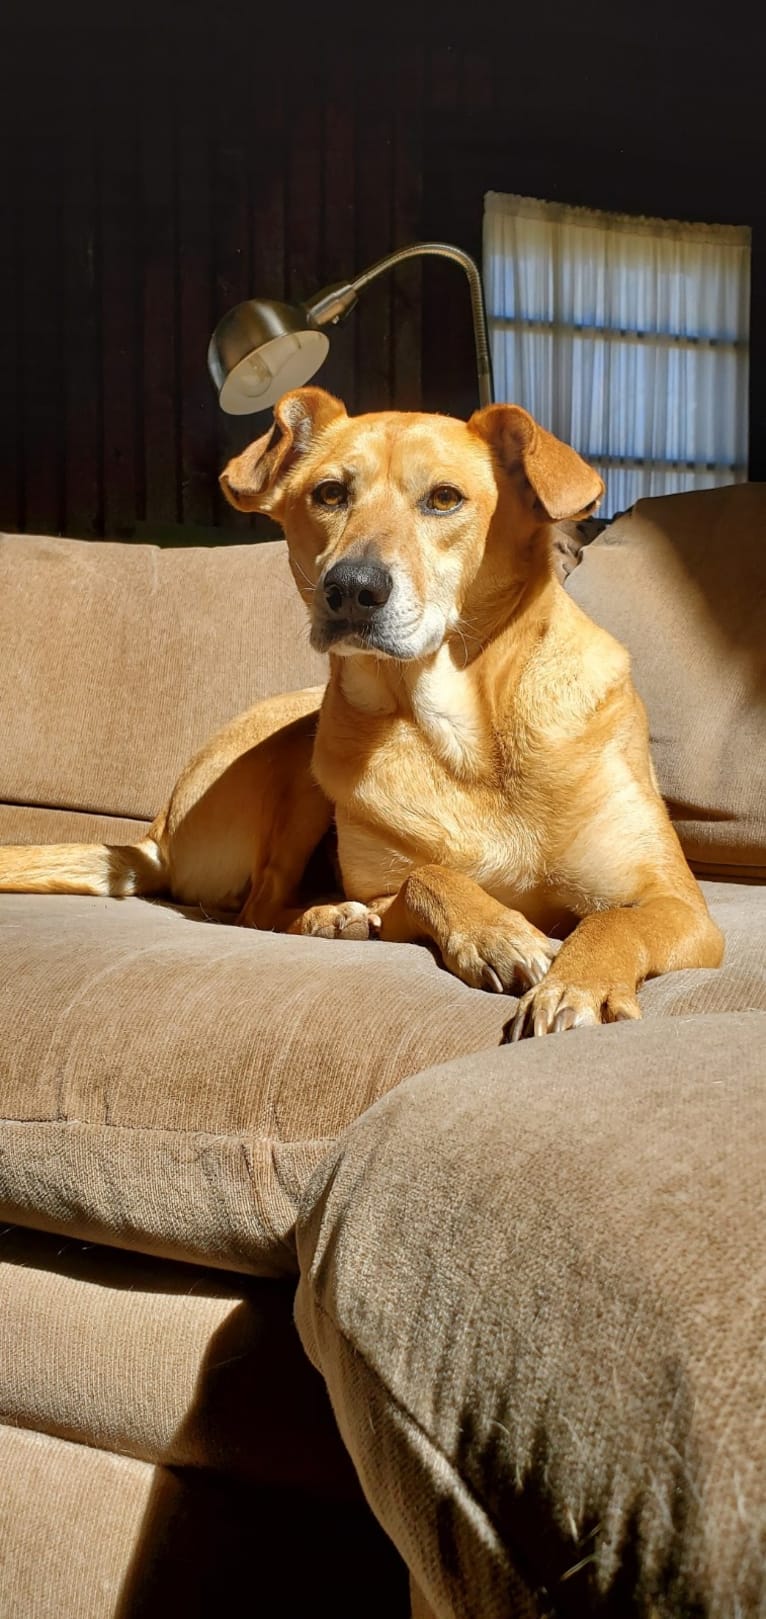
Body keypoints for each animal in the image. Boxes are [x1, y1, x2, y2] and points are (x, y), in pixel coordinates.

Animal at [0, 388, 722, 1036]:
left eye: (444, 498)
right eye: (329, 494)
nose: (351, 588)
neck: (465, 737)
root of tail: (157, 832)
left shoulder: (679, 904)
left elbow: (611, 919)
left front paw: (578, 985)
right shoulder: (389, 891)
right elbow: (430, 877)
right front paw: (498, 935)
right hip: (298, 760)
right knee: (258, 907)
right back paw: (330, 917)